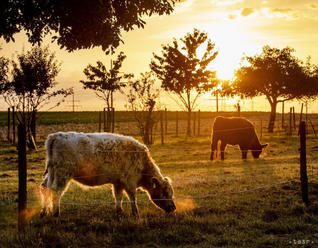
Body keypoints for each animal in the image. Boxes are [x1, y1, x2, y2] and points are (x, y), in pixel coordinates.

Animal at [39, 132, 176, 217]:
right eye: (164, 193)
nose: (173, 208)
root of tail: (57, 135)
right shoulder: (129, 181)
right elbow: (132, 197)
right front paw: (135, 213)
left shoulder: (118, 183)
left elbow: (118, 197)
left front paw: (119, 212)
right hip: (63, 174)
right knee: (56, 191)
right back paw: (56, 213)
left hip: (52, 173)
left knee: (45, 188)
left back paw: (44, 212)